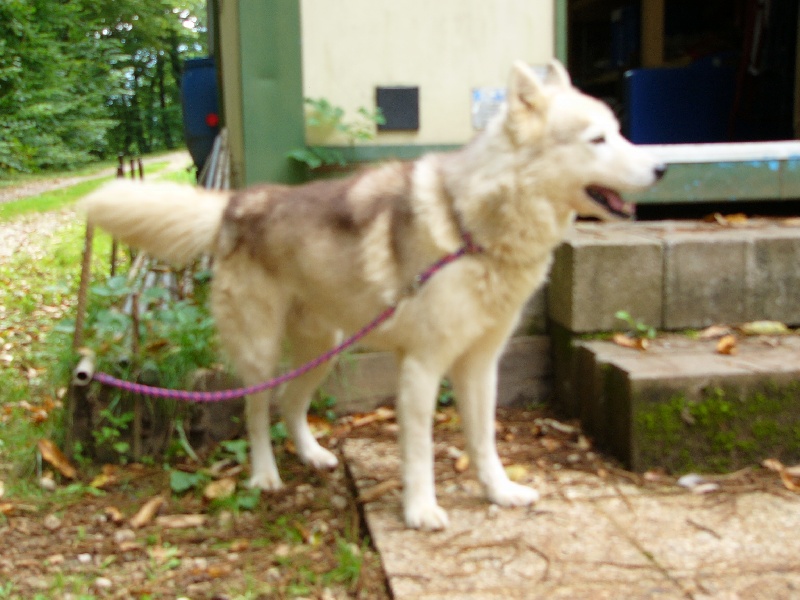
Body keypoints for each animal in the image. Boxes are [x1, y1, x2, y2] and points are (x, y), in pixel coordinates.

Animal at [82, 60, 665, 530]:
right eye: (598, 140)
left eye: (620, 133)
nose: (663, 167)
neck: (473, 226)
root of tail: (236, 204)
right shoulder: (422, 368)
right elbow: (422, 453)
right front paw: (420, 512)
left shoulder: (480, 366)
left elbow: (484, 441)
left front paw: (499, 493)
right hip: (262, 352)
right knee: (257, 411)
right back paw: (266, 475)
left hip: (324, 348)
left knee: (290, 403)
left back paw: (313, 455)